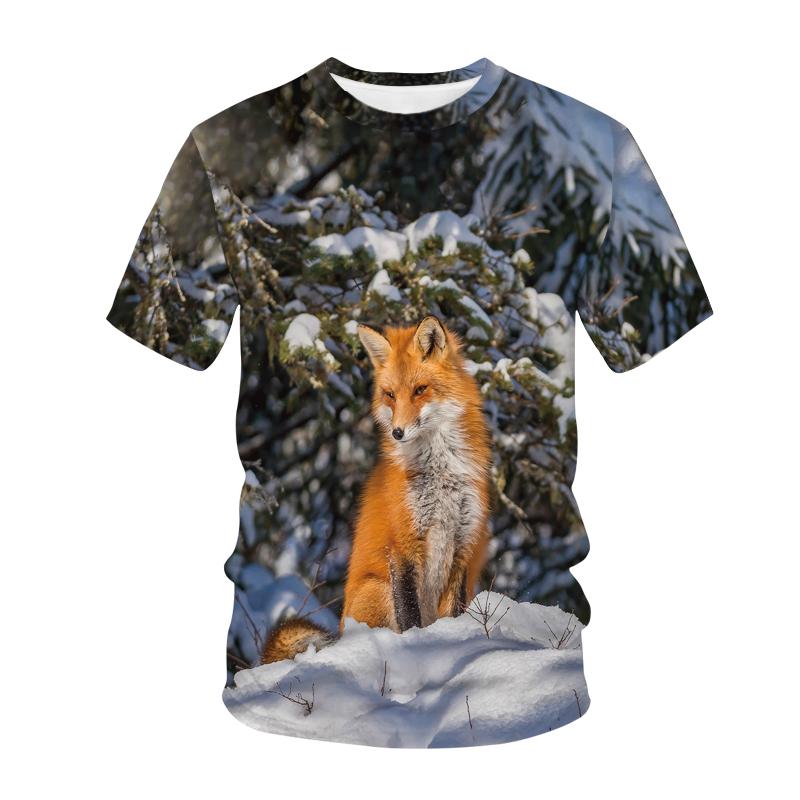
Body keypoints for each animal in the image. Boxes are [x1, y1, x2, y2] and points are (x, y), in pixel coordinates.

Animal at [261, 316, 492, 664]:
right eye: (390, 395)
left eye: (420, 390)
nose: (397, 432)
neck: (439, 472)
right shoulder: (403, 543)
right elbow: (410, 614)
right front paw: (418, 647)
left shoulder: (464, 544)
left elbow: (454, 612)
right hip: (377, 588)